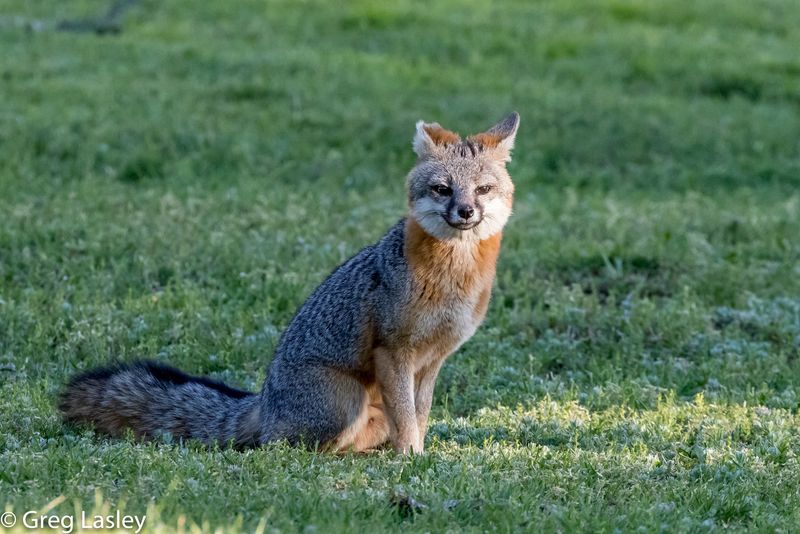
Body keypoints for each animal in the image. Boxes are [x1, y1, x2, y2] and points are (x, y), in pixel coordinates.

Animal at [61, 113, 520, 456]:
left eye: (483, 189)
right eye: (442, 189)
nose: (465, 212)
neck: (453, 279)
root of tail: (263, 401)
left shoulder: (432, 360)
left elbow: (419, 417)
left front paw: (418, 455)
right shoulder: (394, 351)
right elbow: (407, 419)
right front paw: (411, 459)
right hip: (346, 403)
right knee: (283, 445)